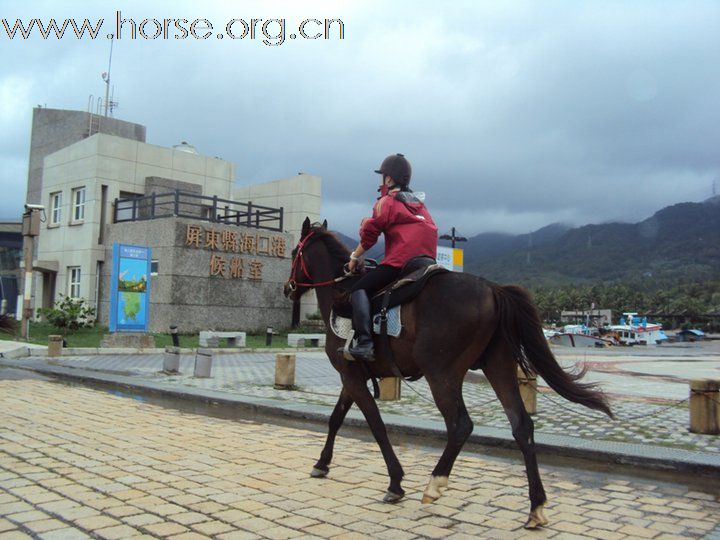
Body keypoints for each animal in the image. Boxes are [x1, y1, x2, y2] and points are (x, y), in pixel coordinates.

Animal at [284, 218, 612, 528]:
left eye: (293, 252)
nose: (288, 288)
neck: (340, 296)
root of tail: (493, 289)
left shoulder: (351, 377)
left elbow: (376, 426)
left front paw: (395, 482)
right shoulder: (353, 377)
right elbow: (336, 418)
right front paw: (322, 463)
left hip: (441, 373)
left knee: (460, 425)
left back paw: (435, 484)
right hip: (498, 366)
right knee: (522, 426)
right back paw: (536, 507)